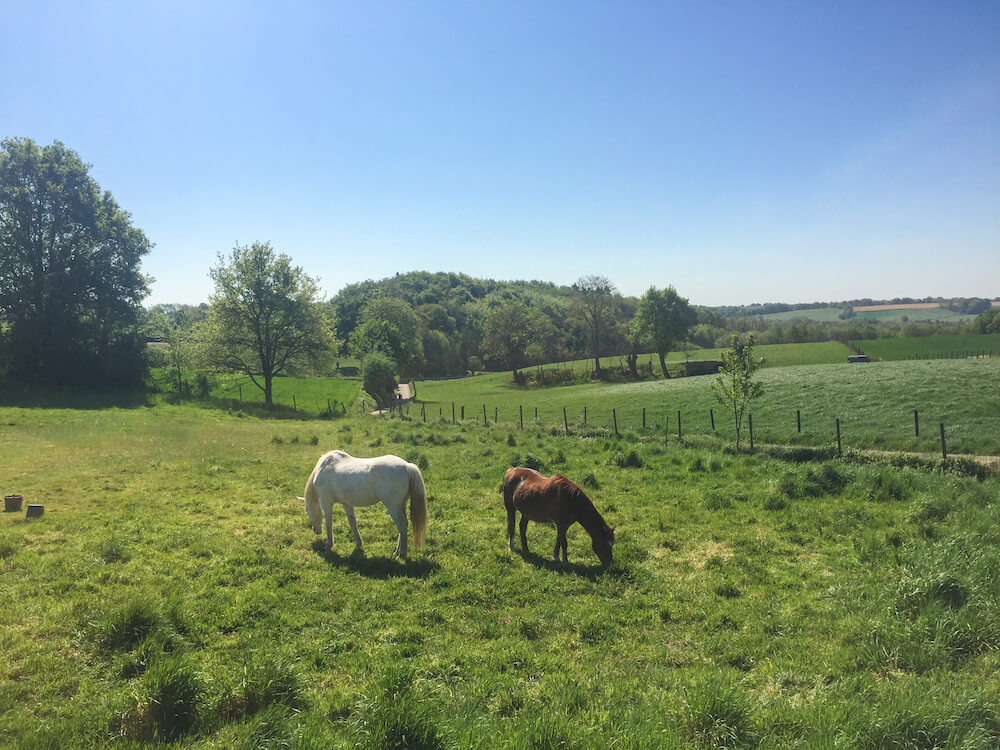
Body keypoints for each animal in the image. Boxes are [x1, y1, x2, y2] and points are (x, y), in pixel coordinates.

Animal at [294, 452, 424, 560]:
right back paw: (397, 551)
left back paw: (402, 553)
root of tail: (407, 466)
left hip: (393, 507)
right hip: (400, 505)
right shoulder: (347, 503)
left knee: (401, 524)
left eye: (307, 510)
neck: (324, 467)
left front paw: (329, 545)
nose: (315, 530)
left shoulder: (326, 502)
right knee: (403, 526)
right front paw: (358, 544)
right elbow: (353, 522)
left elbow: (328, 524)